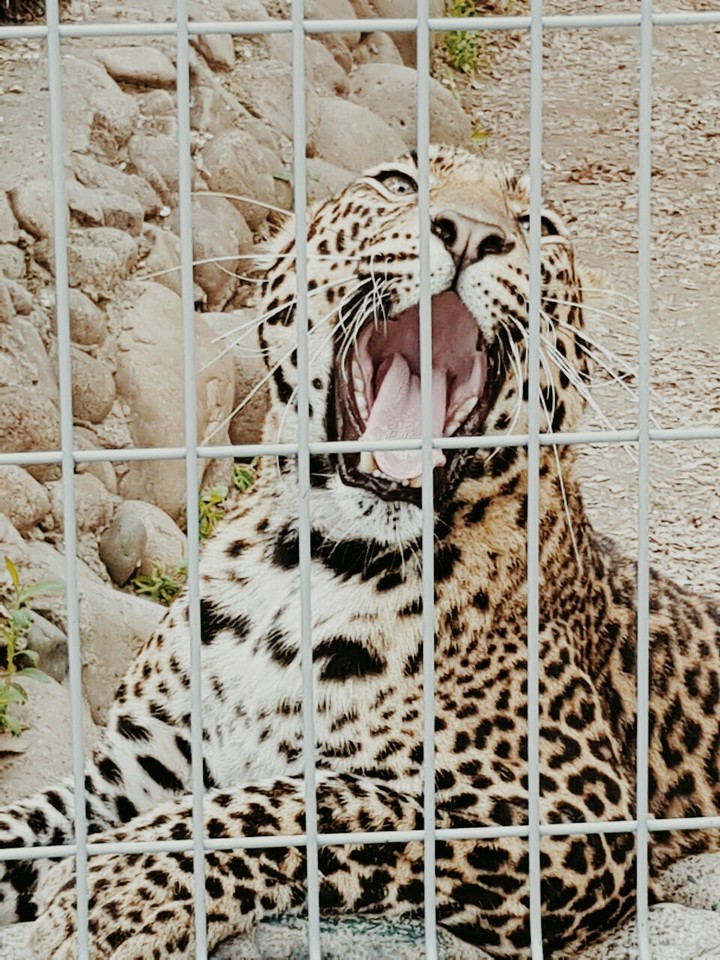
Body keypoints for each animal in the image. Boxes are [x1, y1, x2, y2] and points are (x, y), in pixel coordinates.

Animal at [0, 145, 718, 959]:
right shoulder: (124, 776)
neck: (307, 561)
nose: (471, 233)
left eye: (539, 224)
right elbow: (31, 823)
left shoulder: (571, 816)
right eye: (398, 184)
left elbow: (314, 804)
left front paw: (115, 889)